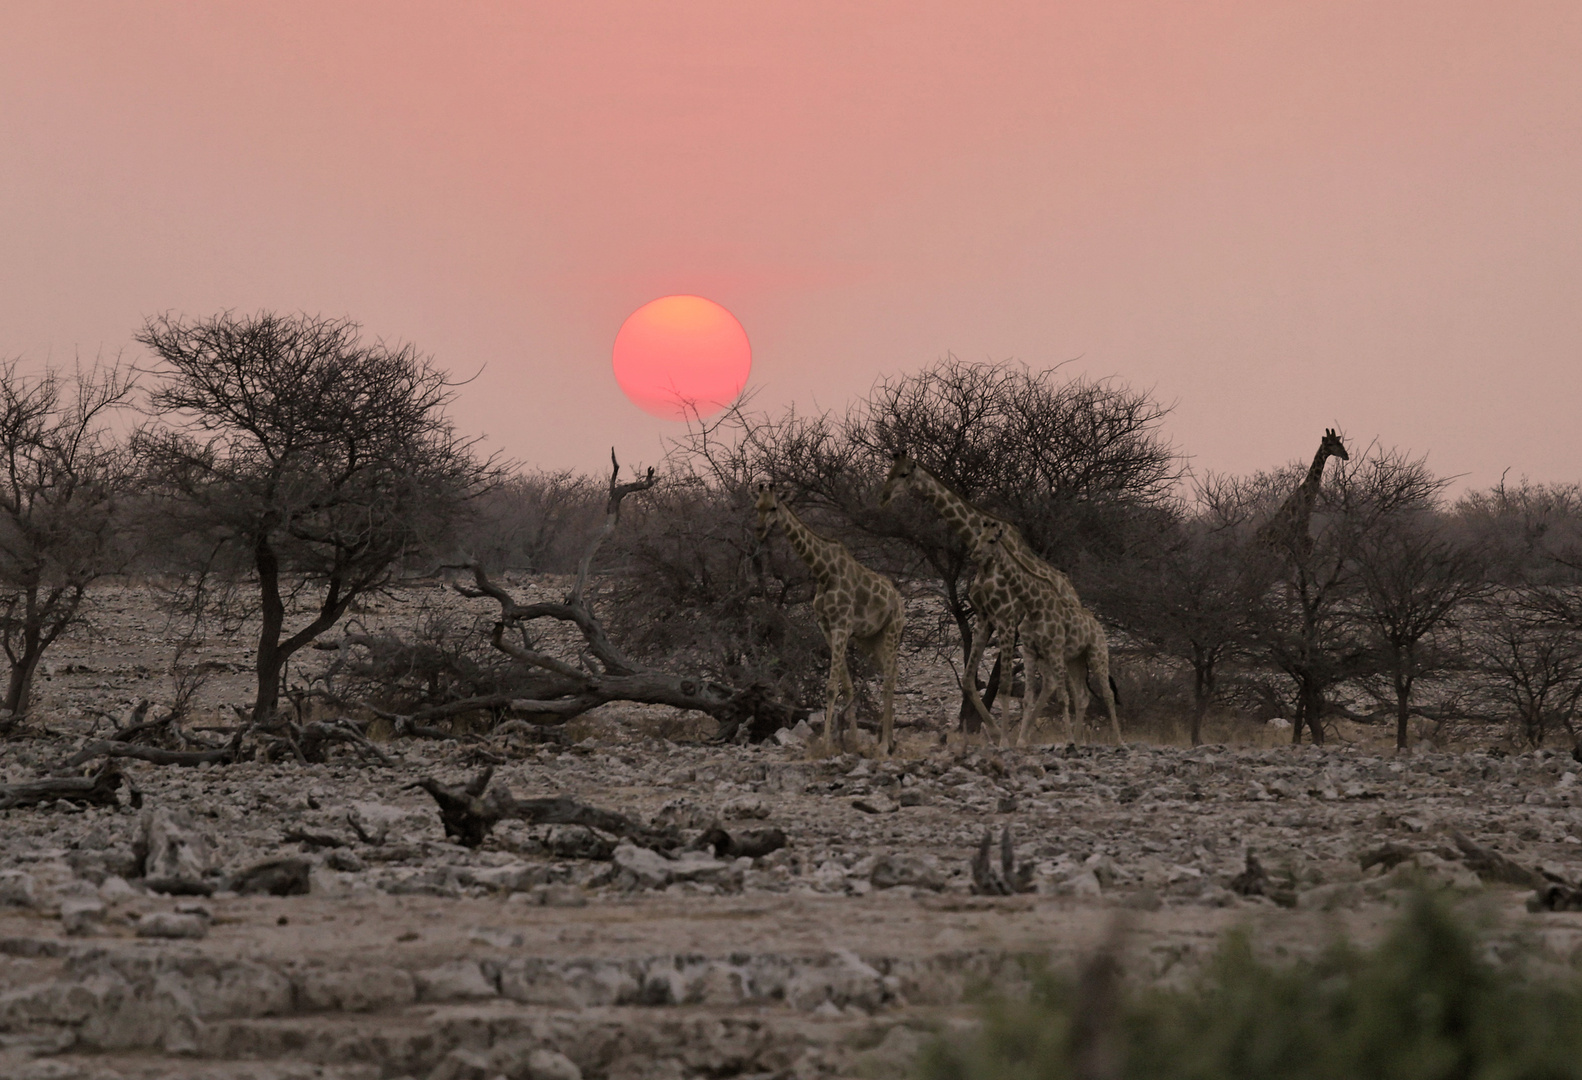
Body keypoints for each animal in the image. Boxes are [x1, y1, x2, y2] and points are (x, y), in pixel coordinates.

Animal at [749, 487, 904, 755]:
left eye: (773, 507)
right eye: (757, 505)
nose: (759, 529)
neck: (823, 572)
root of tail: (900, 601)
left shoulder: (841, 625)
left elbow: (831, 687)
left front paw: (826, 744)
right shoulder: (827, 627)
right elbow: (847, 685)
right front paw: (852, 741)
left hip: (893, 630)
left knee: (890, 677)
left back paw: (884, 744)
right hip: (870, 639)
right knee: (889, 671)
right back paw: (890, 740)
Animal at [879, 455, 1088, 743]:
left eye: (903, 474)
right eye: (890, 470)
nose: (884, 496)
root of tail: (1074, 595)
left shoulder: (1007, 618)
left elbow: (1005, 685)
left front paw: (1004, 738)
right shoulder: (984, 616)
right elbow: (968, 681)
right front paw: (994, 733)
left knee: (1071, 688)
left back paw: (1065, 737)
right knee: (1054, 684)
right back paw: (1036, 736)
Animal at [968, 528, 1120, 746]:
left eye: (991, 540)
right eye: (978, 537)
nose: (975, 554)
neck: (1033, 604)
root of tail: (1097, 625)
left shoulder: (1049, 647)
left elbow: (1061, 696)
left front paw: (1067, 741)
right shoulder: (1029, 649)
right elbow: (1028, 697)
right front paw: (1019, 741)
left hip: (1096, 654)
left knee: (1106, 693)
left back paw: (1117, 740)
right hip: (1075, 660)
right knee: (1082, 695)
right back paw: (1079, 740)